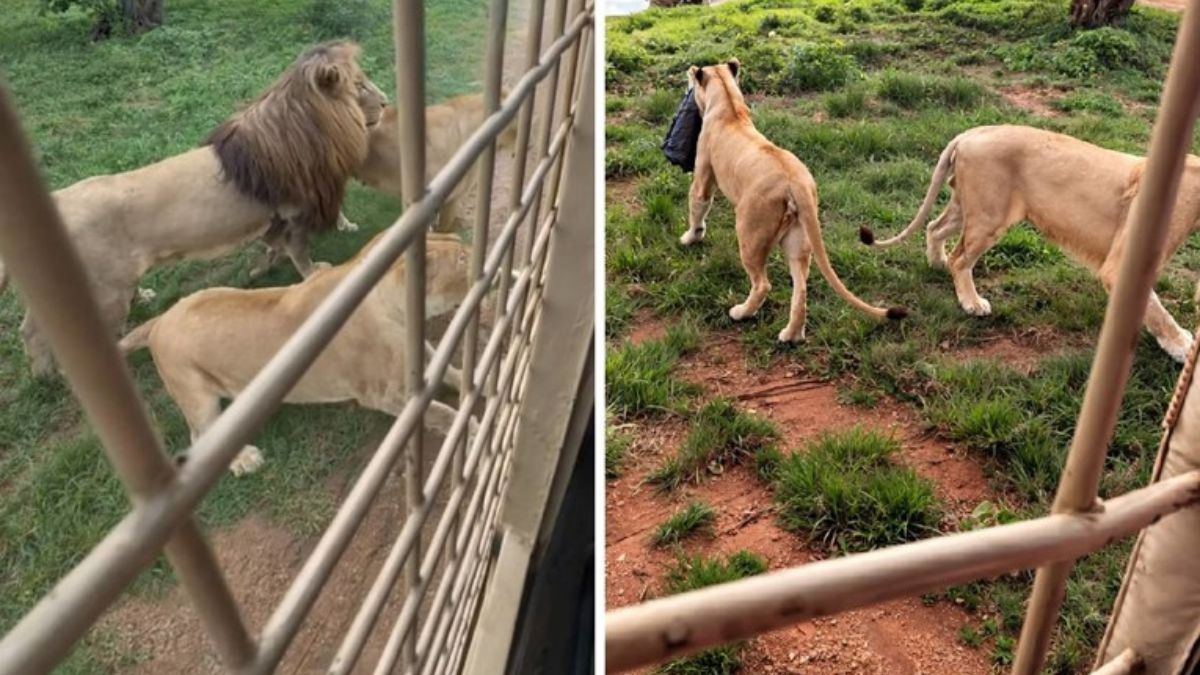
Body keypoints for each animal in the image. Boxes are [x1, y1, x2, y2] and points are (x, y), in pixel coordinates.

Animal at [1, 40, 386, 376]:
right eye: (359, 85)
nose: (384, 102)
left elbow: (282, 243)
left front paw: (276, 260)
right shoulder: (295, 211)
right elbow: (300, 251)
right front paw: (313, 271)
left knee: (32, 327)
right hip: (102, 288)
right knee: (48, 333)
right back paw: (55, 373)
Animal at [118, 232, 476, 475]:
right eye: (461, 258)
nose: (475, 250)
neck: (392, 306)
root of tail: (159, 321)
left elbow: (449, 369)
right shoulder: (383, 394)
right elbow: (442, 412)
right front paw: (471, 427)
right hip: (197, 397)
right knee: (199, 435)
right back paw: (244, 459)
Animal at [679, 59, 905, 342]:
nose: (686, 80)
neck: (730, 107)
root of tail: (796, 183)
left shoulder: (702, 177)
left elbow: (697, 206)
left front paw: (690, 238)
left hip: (750, 232)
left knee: (762, 284)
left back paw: (741, 312)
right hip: (798, 239)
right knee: (801, 287)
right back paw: (791, 335)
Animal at [858, 124, 1197, 362]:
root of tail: (972, 132)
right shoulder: (1122, 265)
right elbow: (1158, 312)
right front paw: (1181, 346)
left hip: (968, 207)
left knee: (934, 228)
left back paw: (936, 264)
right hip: (989, 216)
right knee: (960, 258)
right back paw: (971, 302)